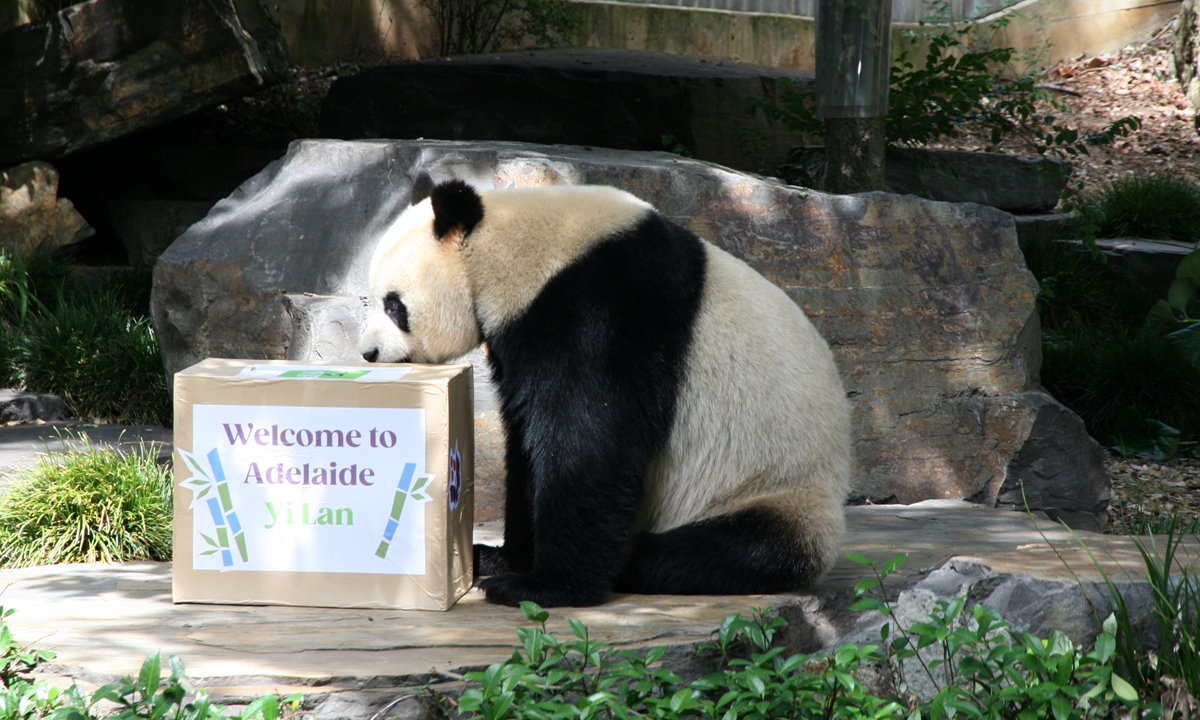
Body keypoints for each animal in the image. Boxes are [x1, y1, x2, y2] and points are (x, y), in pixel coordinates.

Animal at [357, 174, 854, 607]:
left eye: (393, 305)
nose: (368, 353)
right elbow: (527, 444)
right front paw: (503, 558)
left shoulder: (599, 309)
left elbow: (588, 440)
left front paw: (541, 586)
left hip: (772, 489)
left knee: (718, 551)